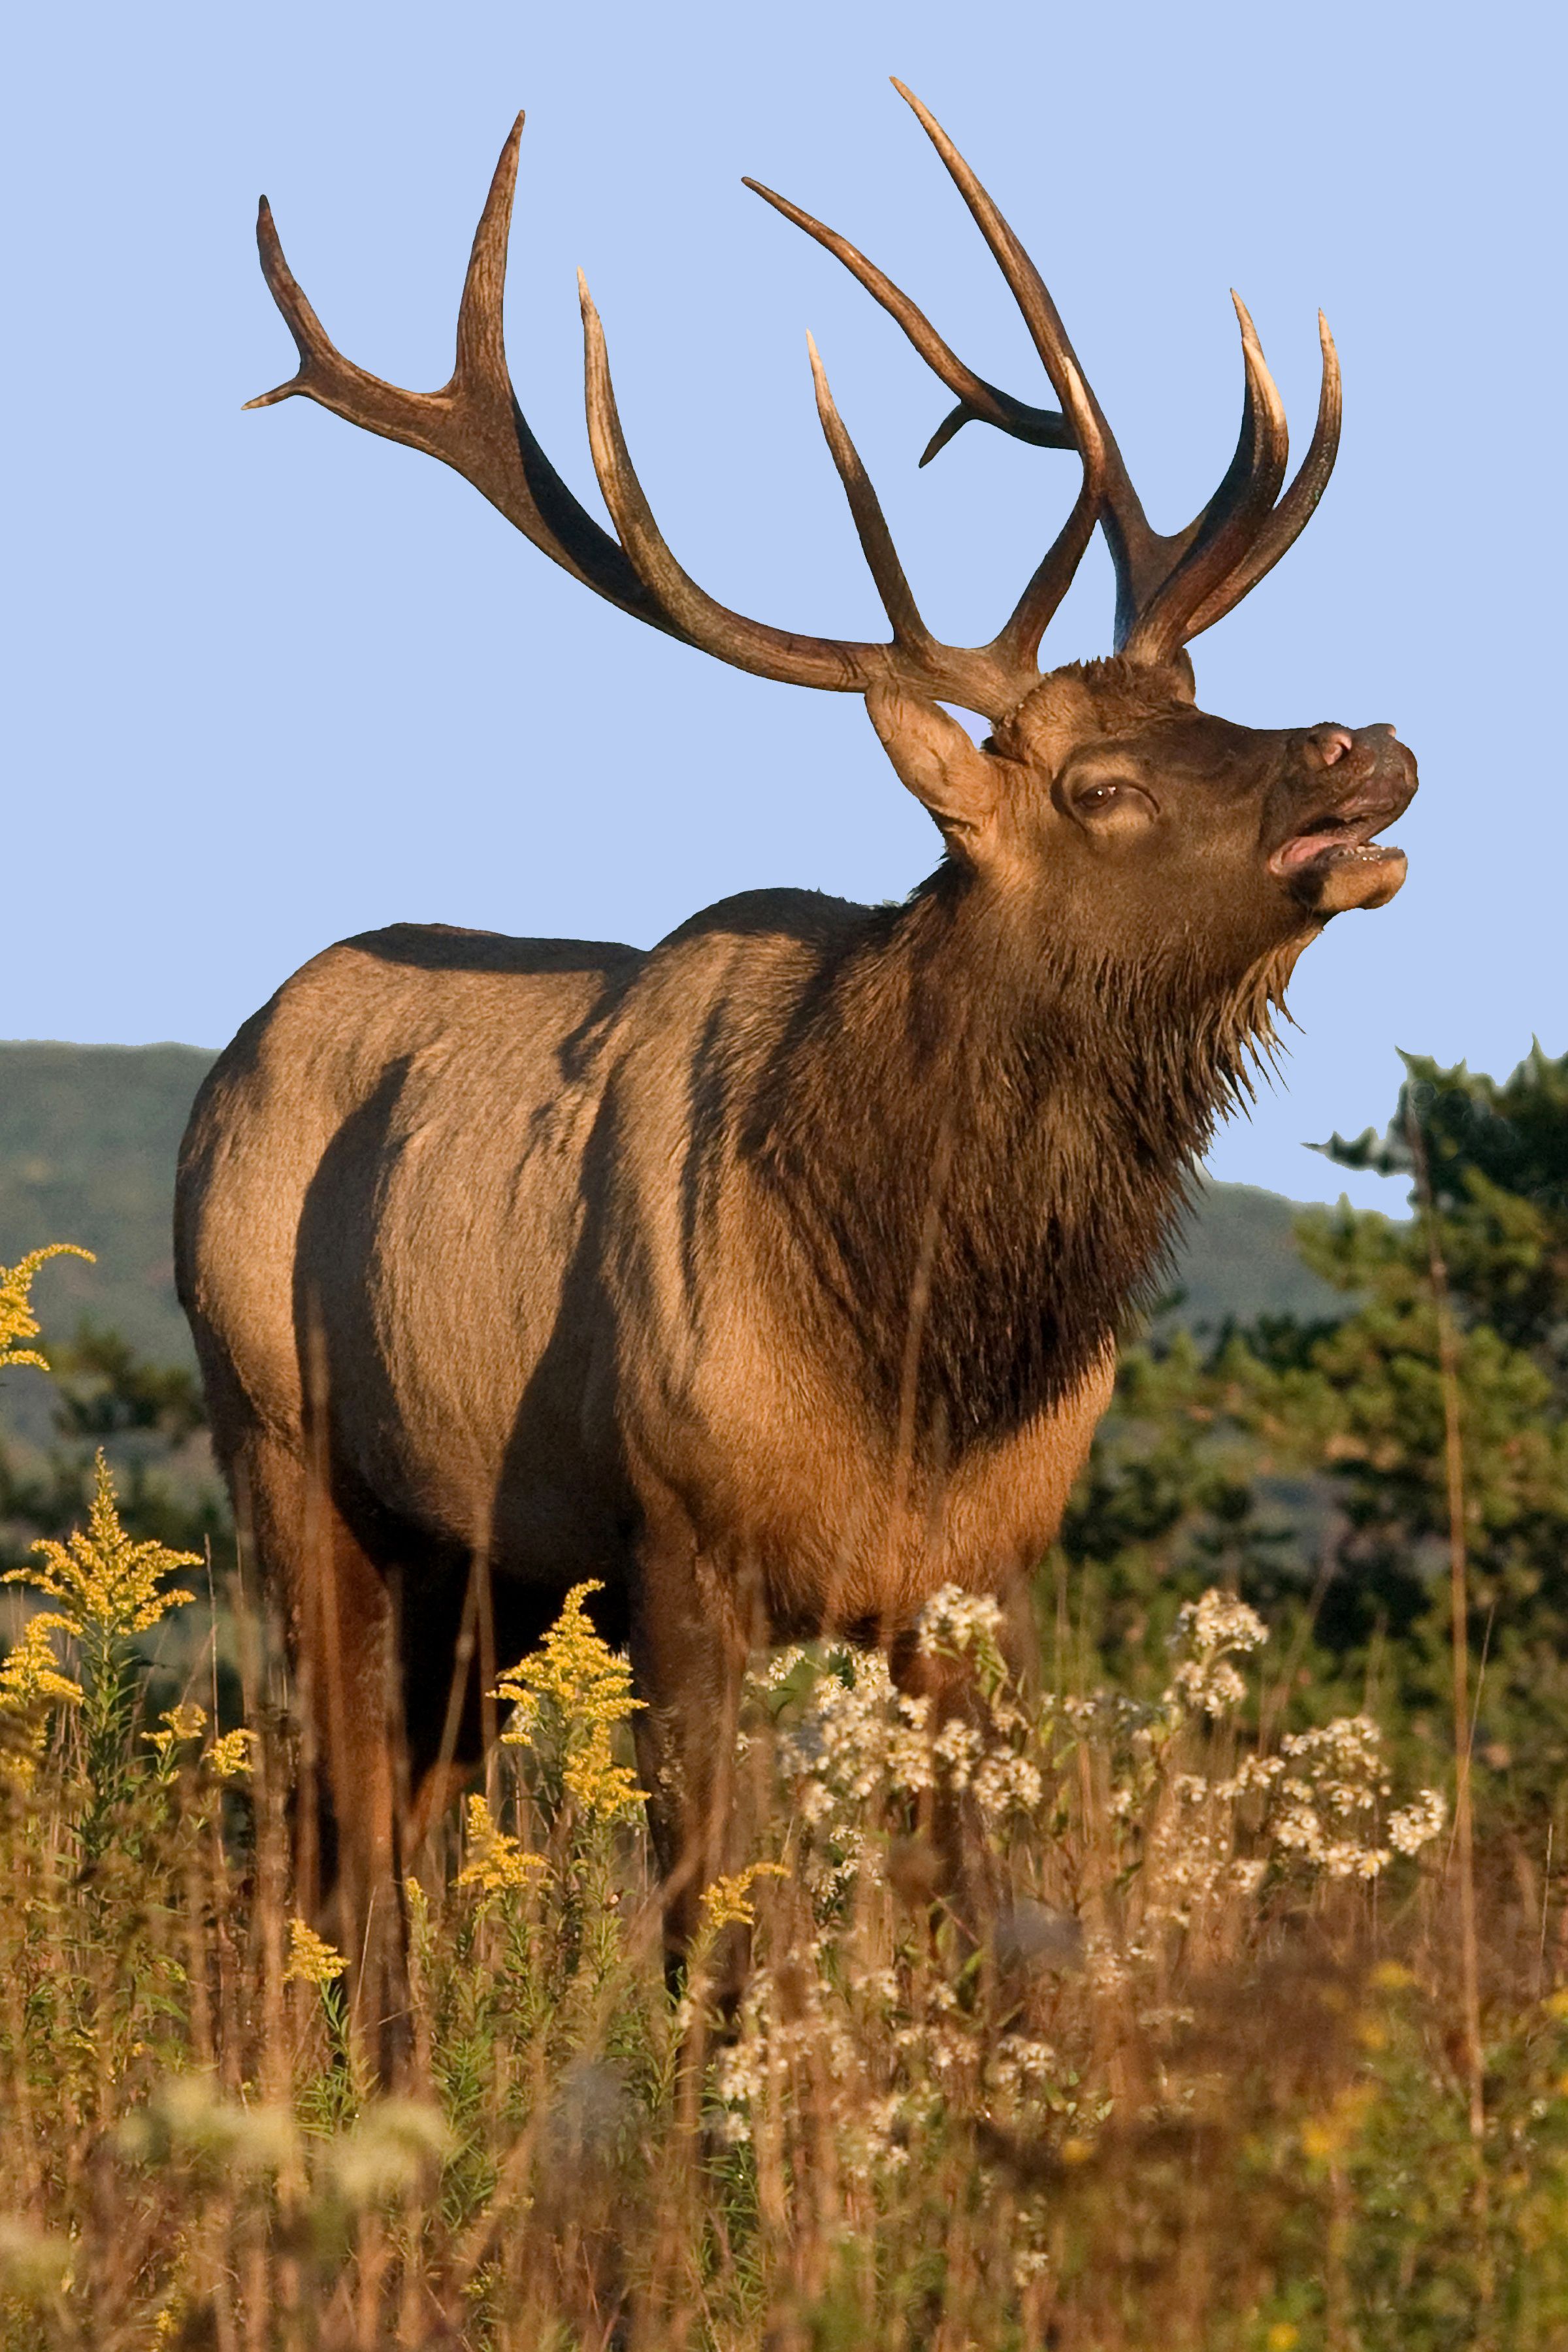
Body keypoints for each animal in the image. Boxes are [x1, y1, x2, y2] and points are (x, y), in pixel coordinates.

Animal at [175, 84, 1416, 2043]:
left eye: (1206, 694)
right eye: (1099, 785)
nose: (1360, 747)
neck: (912, 1335)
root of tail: (227, 1069)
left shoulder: (972, 1584)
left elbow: (985, 1928)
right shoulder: (678, 1544)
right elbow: (715, 1941)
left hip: (478, 1563)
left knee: (380, 1828)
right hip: (287, 1448)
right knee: (349, 1834)